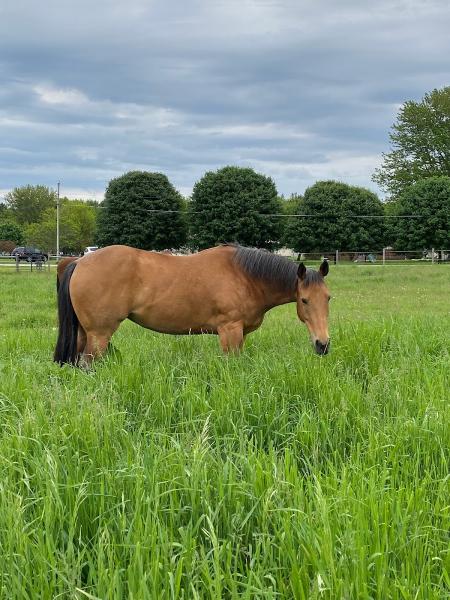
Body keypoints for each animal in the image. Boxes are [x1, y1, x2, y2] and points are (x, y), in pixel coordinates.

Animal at [55, 244, 330, 366]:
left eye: (328, 298)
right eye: (304, 300)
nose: (323, 344)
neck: (245, 275)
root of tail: (79, 262)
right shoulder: (229, 331)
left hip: (84, 332)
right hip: (99, 335)